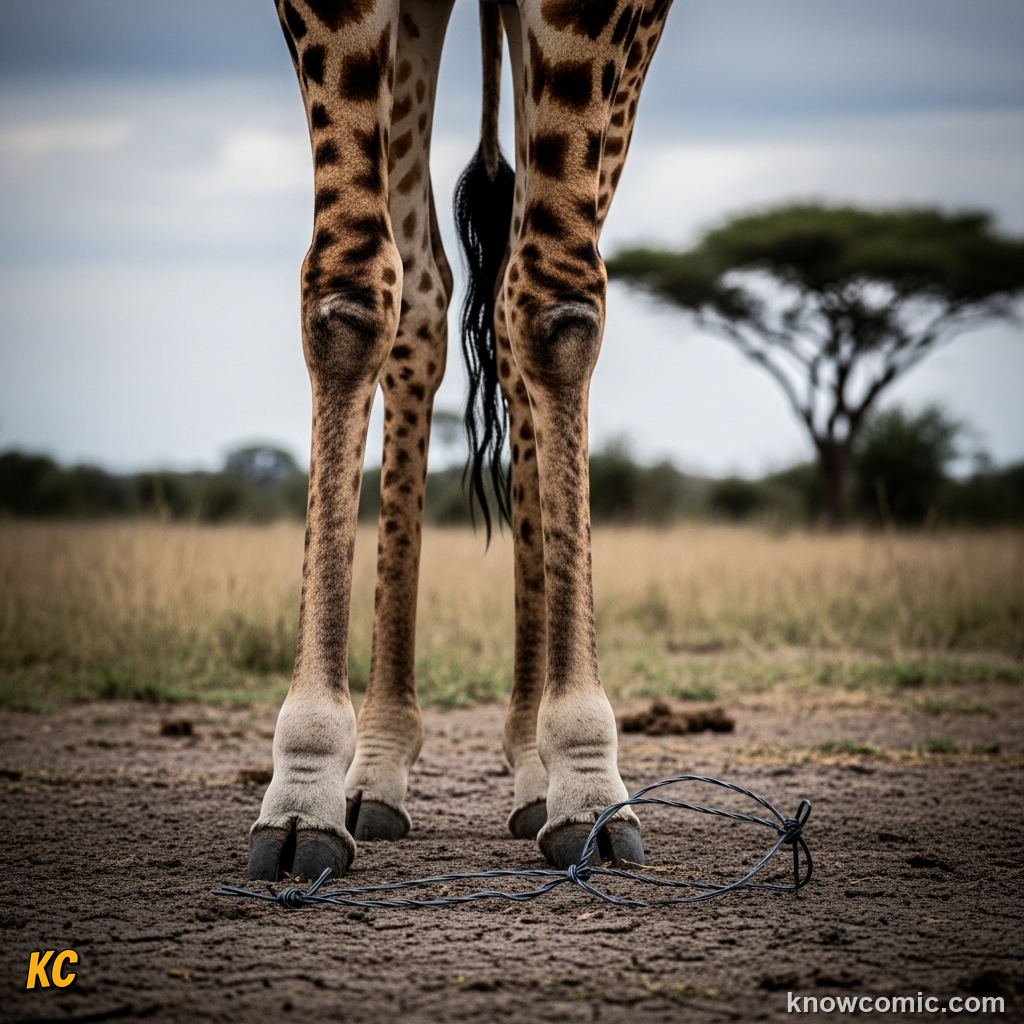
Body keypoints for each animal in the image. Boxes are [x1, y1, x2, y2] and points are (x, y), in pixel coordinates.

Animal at [248, 0, 673, 882]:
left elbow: (556, 305)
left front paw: (586, 780)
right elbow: (349, 293)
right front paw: (303, 789)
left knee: (515, 302)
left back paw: (535, 764)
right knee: (424, 287)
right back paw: (376, 767)